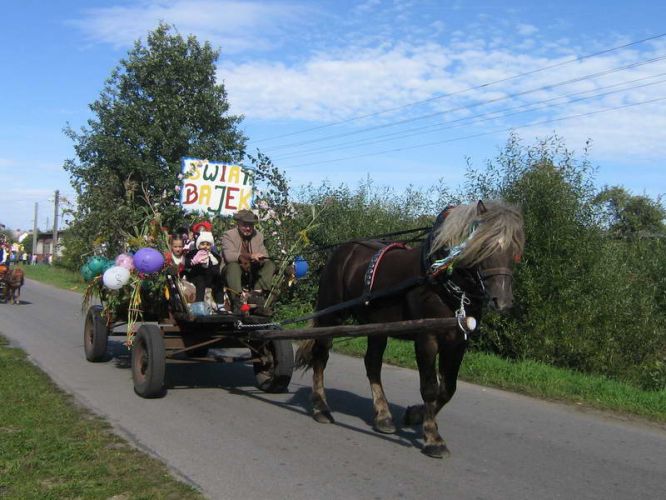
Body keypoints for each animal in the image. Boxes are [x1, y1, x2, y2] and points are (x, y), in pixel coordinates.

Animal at [296, 199, 524, 458]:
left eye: (515, 250)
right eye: (483, 245)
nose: (502, 301)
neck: (441, 278)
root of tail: (343, 250)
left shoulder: (458, 340)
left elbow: (448, 388)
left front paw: (416, 414)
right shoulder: (427, 338)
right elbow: (430, 387)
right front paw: (433, 438)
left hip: (378, 326)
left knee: (372, 363)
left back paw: (383, 416)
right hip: (330, 315)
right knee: (321, 356)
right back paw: (321, 407)